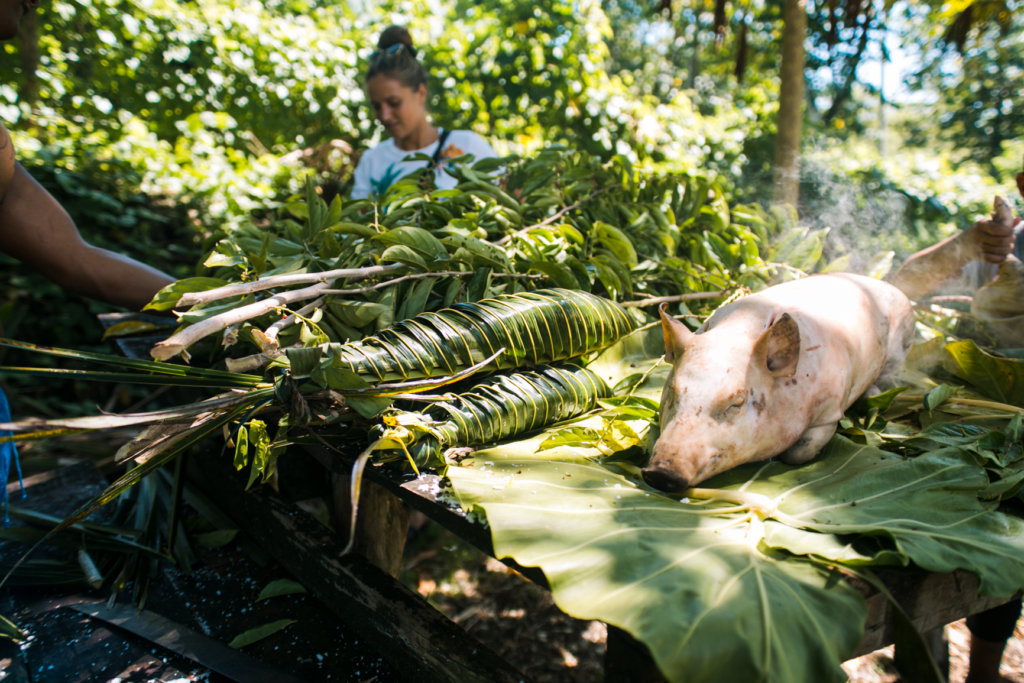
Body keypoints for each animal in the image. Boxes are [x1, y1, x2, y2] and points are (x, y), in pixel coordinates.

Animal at [643, 272, 917, 491]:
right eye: (673, 391)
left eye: (737, 402)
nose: (660, 473)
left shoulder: (831, 410)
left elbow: (800, 453)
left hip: (900, 349)